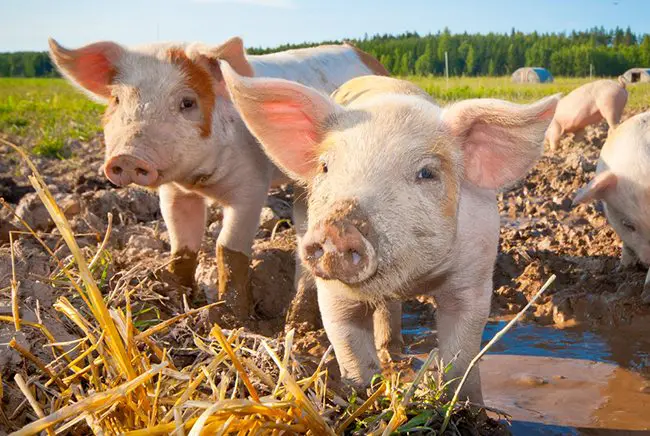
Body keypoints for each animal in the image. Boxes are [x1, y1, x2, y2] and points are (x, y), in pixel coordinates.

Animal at [48, 37, 388, 321]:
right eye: (117, 100)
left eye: (187, 102)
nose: (128, 158)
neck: (200, 181)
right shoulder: (174, 192)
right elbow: (182, 245)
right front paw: (179, 300)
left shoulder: (252, 187)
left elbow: (228, 249)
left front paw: (232, 319)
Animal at [221, 65, 559, 402]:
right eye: (326, 167)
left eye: (427, 173)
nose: (337, 228)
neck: (413, 279)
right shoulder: (333, 293)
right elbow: (349, 344)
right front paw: (364, 392)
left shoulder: (474, 275)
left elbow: (461, 354)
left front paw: (466, 404)